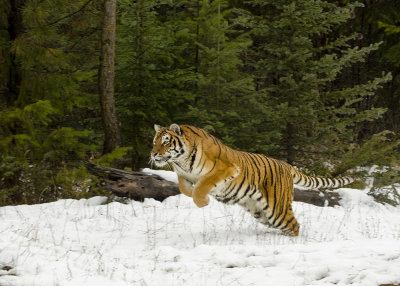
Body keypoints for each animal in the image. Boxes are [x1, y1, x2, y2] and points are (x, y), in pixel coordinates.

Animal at [150, 123, 354, 237]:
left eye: (166, 141)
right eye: (154, 141)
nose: (153, 153)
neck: (182, 161)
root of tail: (286, 165)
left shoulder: (226, 169)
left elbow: (202, 186)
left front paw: (203, 201)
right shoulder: (184, 175)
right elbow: (185, 189)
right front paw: (195, 195)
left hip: (277, 209)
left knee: (294, 225)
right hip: (261, 212)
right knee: (287, 225)